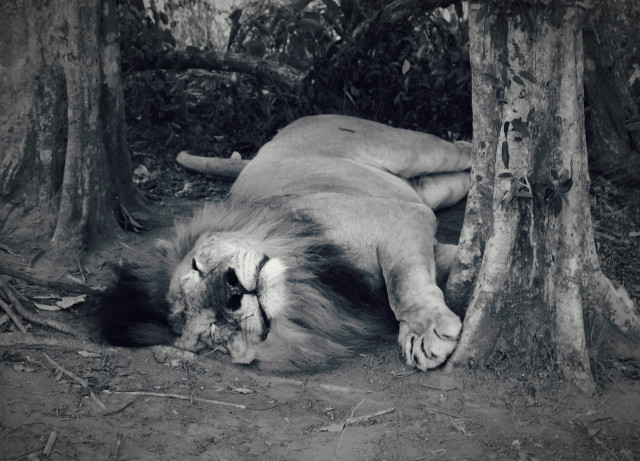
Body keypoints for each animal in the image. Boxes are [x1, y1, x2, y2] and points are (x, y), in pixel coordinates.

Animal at [100, 115, 472, 372]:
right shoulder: (421, 235)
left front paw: (425, 332)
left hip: (412, 150)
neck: (312, 273)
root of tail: (267, 145)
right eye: (212, 331)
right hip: (435, 188)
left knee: (462, 150)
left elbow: (401, 282)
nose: (231, 290)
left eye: (199, 266)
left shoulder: (398, 217)